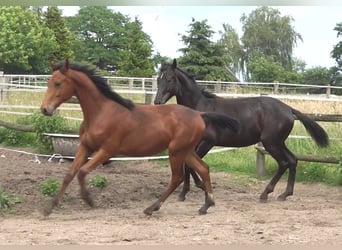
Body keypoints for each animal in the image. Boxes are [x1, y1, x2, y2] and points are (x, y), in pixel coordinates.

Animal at [39, 59, 240, 216]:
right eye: (49, 82)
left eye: (58, 83)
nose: (45, 109)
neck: (102, 112)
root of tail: (199, 114)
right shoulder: (85, 146)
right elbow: (69, 174)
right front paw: (49, 208)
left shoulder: (107, 150)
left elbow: (82, 172)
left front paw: (89, 200)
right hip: (186, 150)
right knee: (203, 168)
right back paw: (206, 205)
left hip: (176, 151)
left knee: (177, 177)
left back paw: (152, 208)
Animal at [154, 59, 328, 202]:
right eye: (158, 79)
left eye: (169, 79)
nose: (157, 102)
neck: (200, 109)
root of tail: (288, 109)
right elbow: (188, 165)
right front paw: (187, 191)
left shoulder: (207, 142)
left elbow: (190, 166)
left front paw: (195, 188)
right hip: (278, 142)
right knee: (293, 160)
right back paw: (285, 194)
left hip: (271, 142)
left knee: (284, 162)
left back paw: (265, 194)